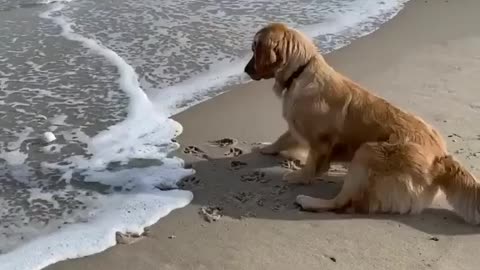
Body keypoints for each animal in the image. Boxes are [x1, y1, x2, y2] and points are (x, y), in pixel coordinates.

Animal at [246, 23, 478, 225]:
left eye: (254, 48)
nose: (246, 70)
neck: (300, 72)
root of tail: (441, 158)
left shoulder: (320, 141)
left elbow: (311, 165)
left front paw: (298, 176)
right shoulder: (298, 126)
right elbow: (284, 137)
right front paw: (267, 148)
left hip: (367, 153)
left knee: (343, 203)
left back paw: (309, 201)